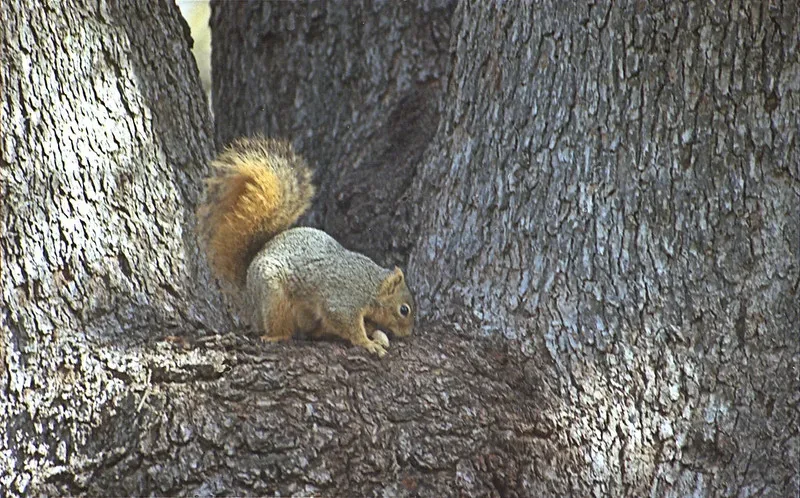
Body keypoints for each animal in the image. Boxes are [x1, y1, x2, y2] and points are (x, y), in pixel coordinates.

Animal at [197, 137, 414, 357]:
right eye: (404, 310)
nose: (408, 334)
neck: (372, 285)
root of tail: (249, 295)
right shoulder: (343, 299)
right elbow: (346, 322)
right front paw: (367, 343)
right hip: (274, 297)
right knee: (279, 325)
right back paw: (275, 335)